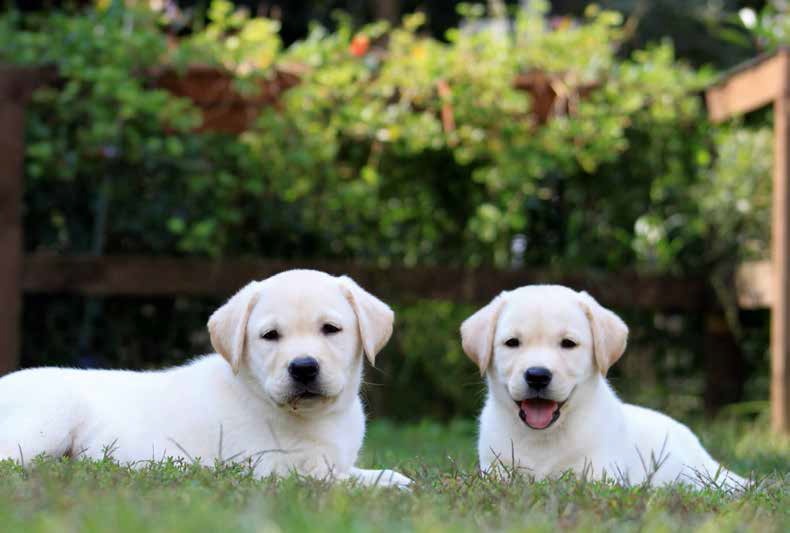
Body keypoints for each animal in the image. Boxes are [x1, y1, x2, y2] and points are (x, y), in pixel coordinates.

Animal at [0, 270, 408, 486]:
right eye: (270, 336)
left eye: (331, 329)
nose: (304, 367)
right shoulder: (273, 469)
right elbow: (341, 479)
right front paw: (389, 485)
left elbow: (355, 470)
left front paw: (393, 476)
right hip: (47, 420)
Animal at [464, 284, 748, 488]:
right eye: (512, 343)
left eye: (568, 343)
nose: (537, 375)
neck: (543, 437)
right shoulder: (495, 467)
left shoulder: (600, 472)